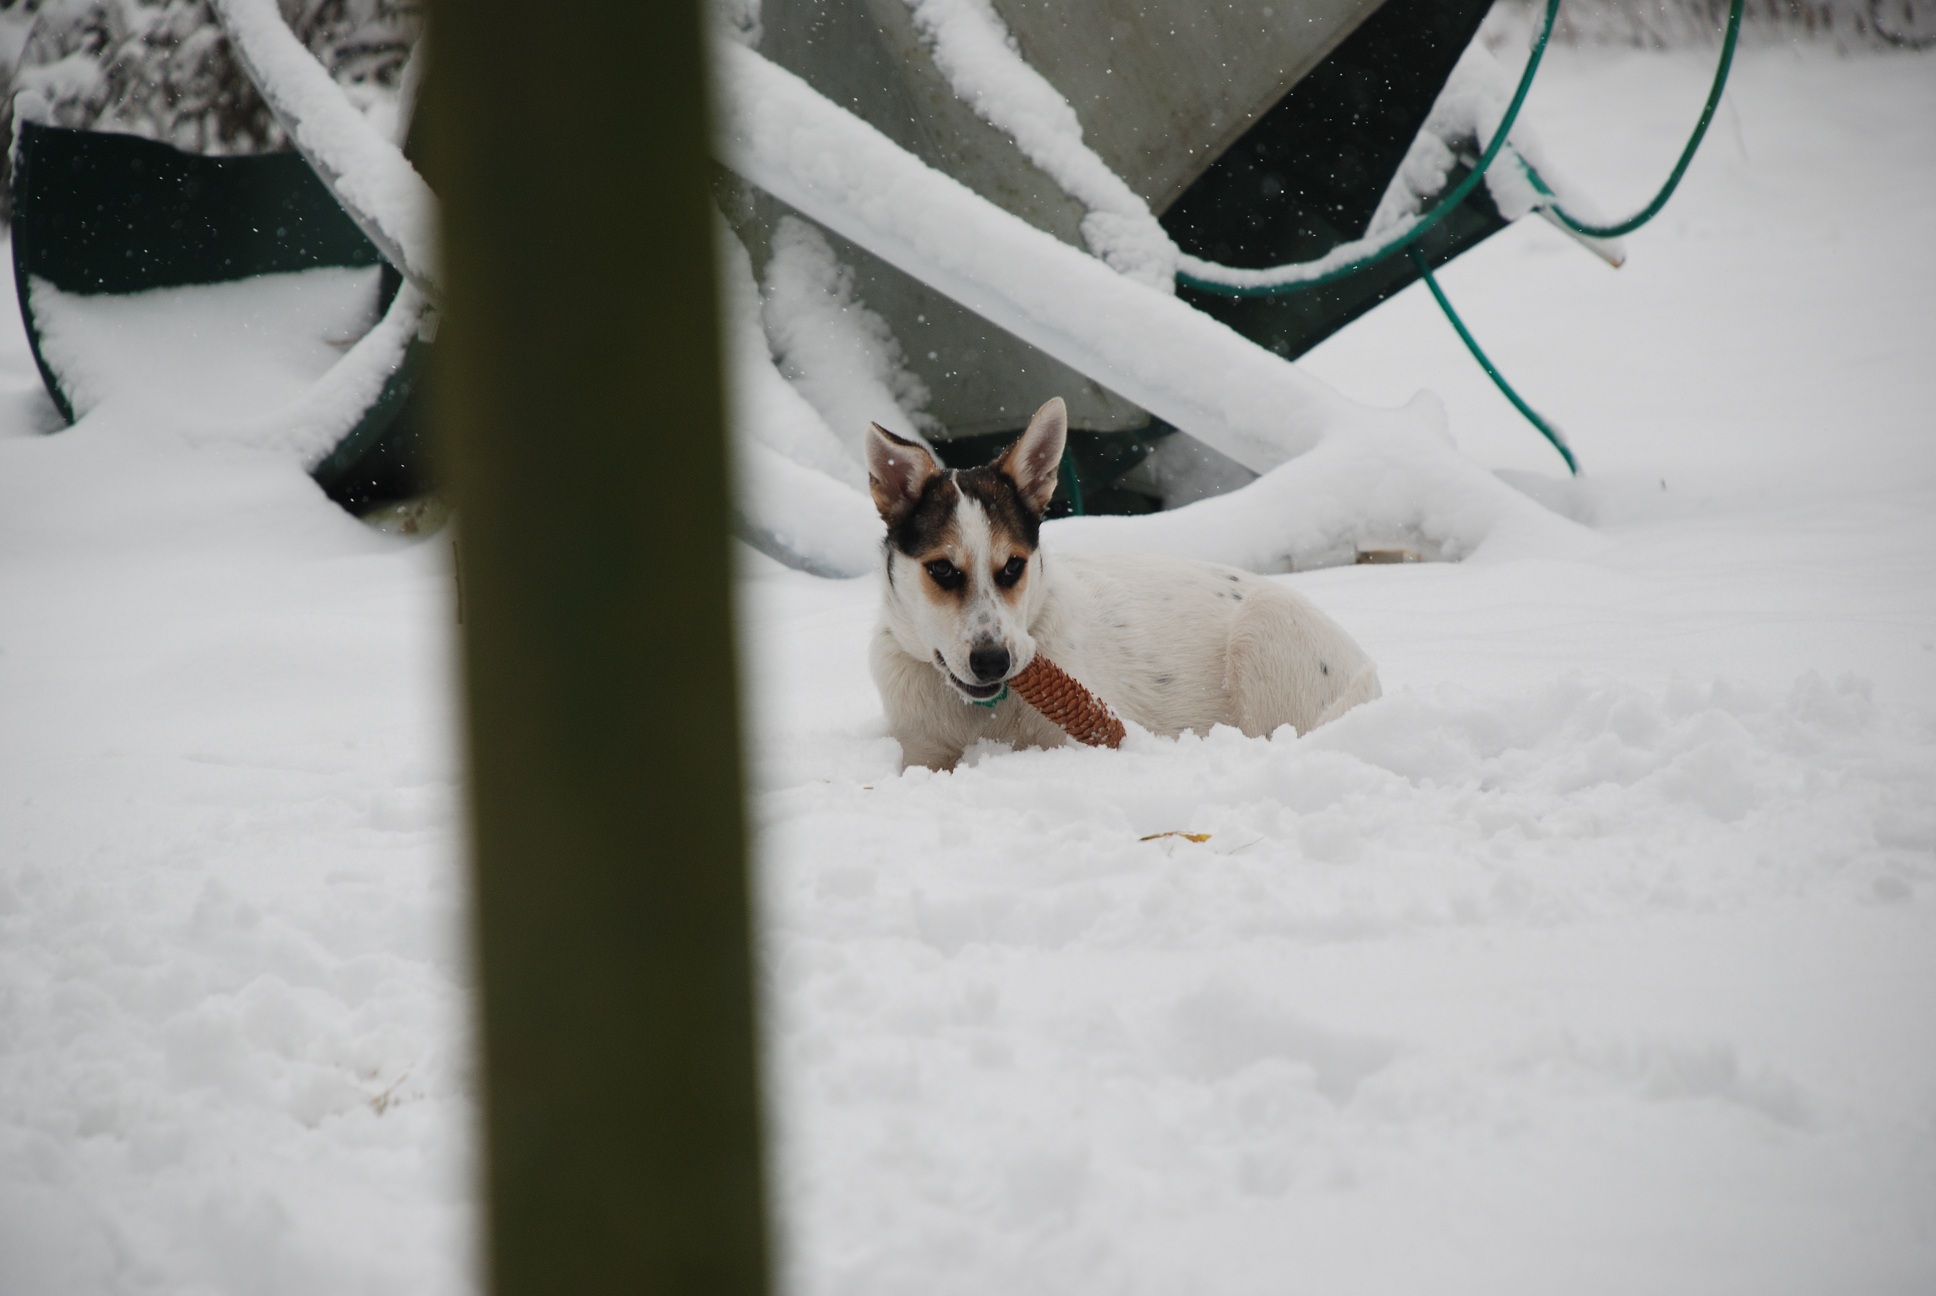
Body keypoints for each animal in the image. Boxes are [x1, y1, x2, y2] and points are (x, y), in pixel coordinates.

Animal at [871, 395, 1386, 767]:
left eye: (1013, 566)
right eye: (942, 569)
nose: (994, 661)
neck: (979, 714)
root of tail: (1368, 676)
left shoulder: (1084, 736)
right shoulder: (919, 752)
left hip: (1265, 626)